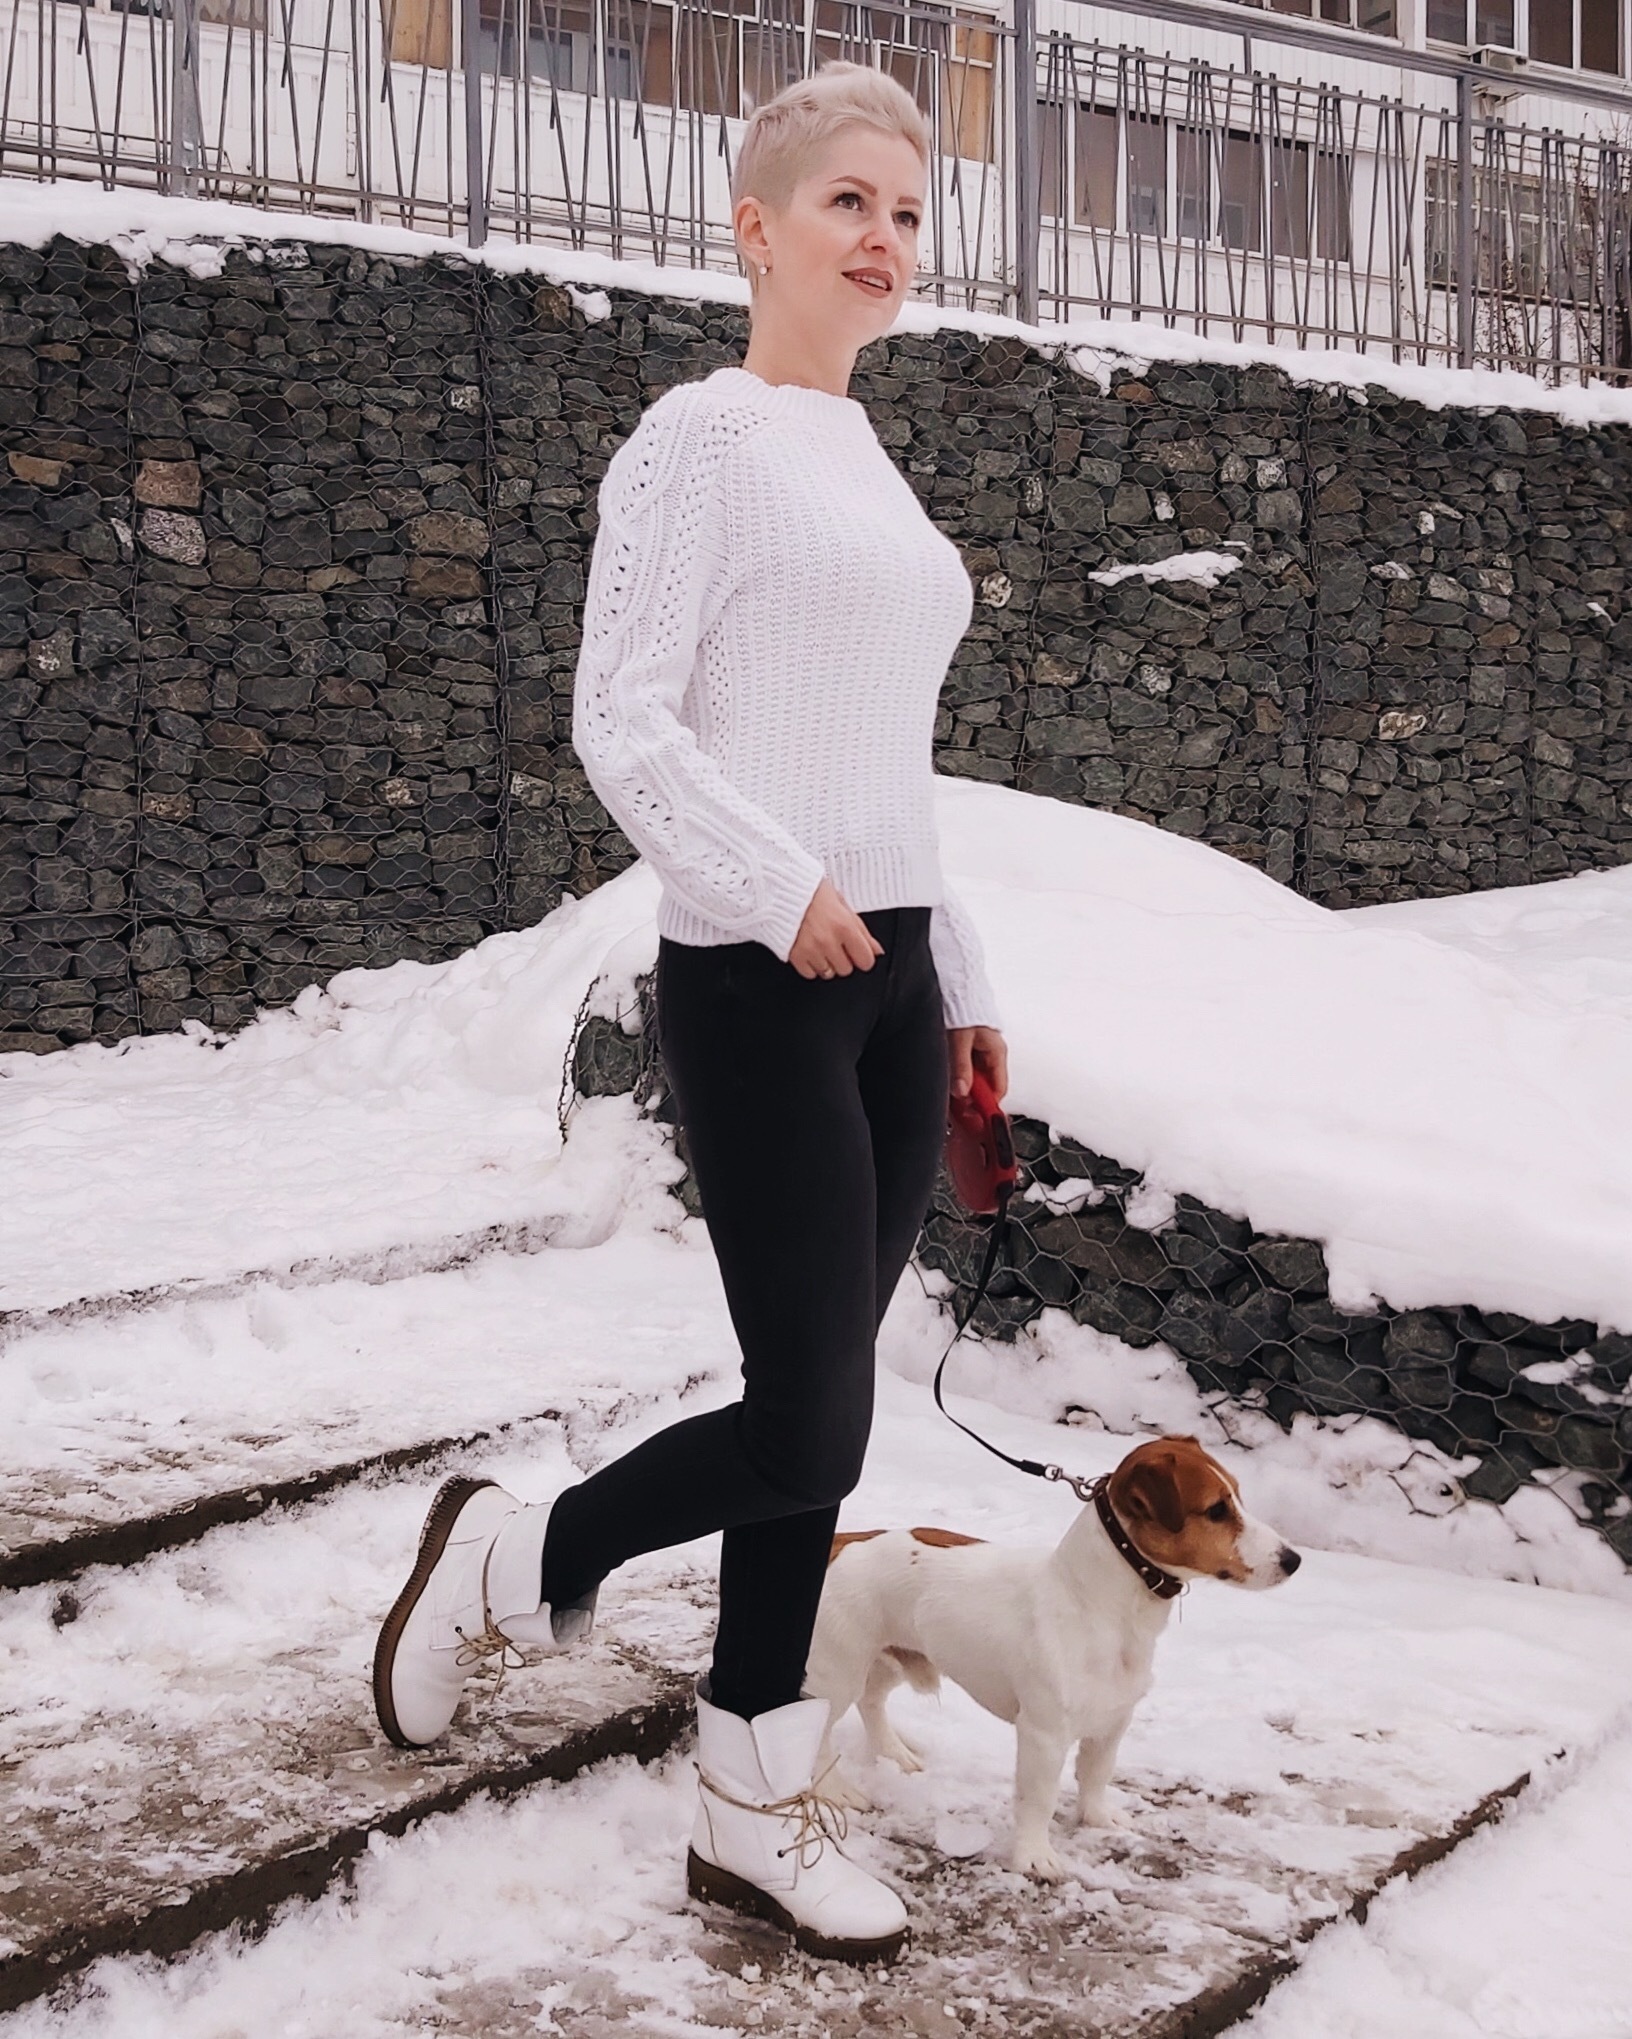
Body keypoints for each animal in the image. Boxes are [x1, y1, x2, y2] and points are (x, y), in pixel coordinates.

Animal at [804, 1434, 1301, 1879]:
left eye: (1237, 1496)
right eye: (1216, 1510)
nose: (1293, 1560)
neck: (1099, 1606)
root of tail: (844, 1541)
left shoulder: (1113, 1722)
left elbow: (1097, 1775)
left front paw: (1098, 1818)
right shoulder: (1043, 1734)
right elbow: (1038, 1799)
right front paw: (1033, 1856)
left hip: (890, 1657)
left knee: (872, 1701)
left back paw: (894, 1753)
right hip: (838, 1672)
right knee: (818, 1729)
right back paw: (834, 1788)